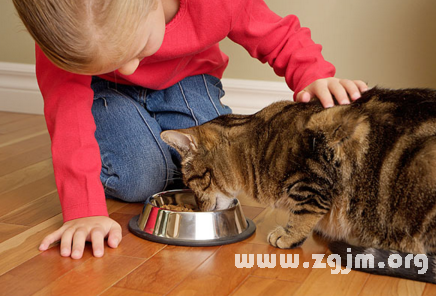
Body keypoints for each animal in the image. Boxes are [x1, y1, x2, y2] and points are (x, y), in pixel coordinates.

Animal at [161, 88, 436, 282]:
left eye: (191, 183)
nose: (199, 209)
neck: (255, 144)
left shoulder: (313, 178)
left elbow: (304, 212)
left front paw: (290, 234)